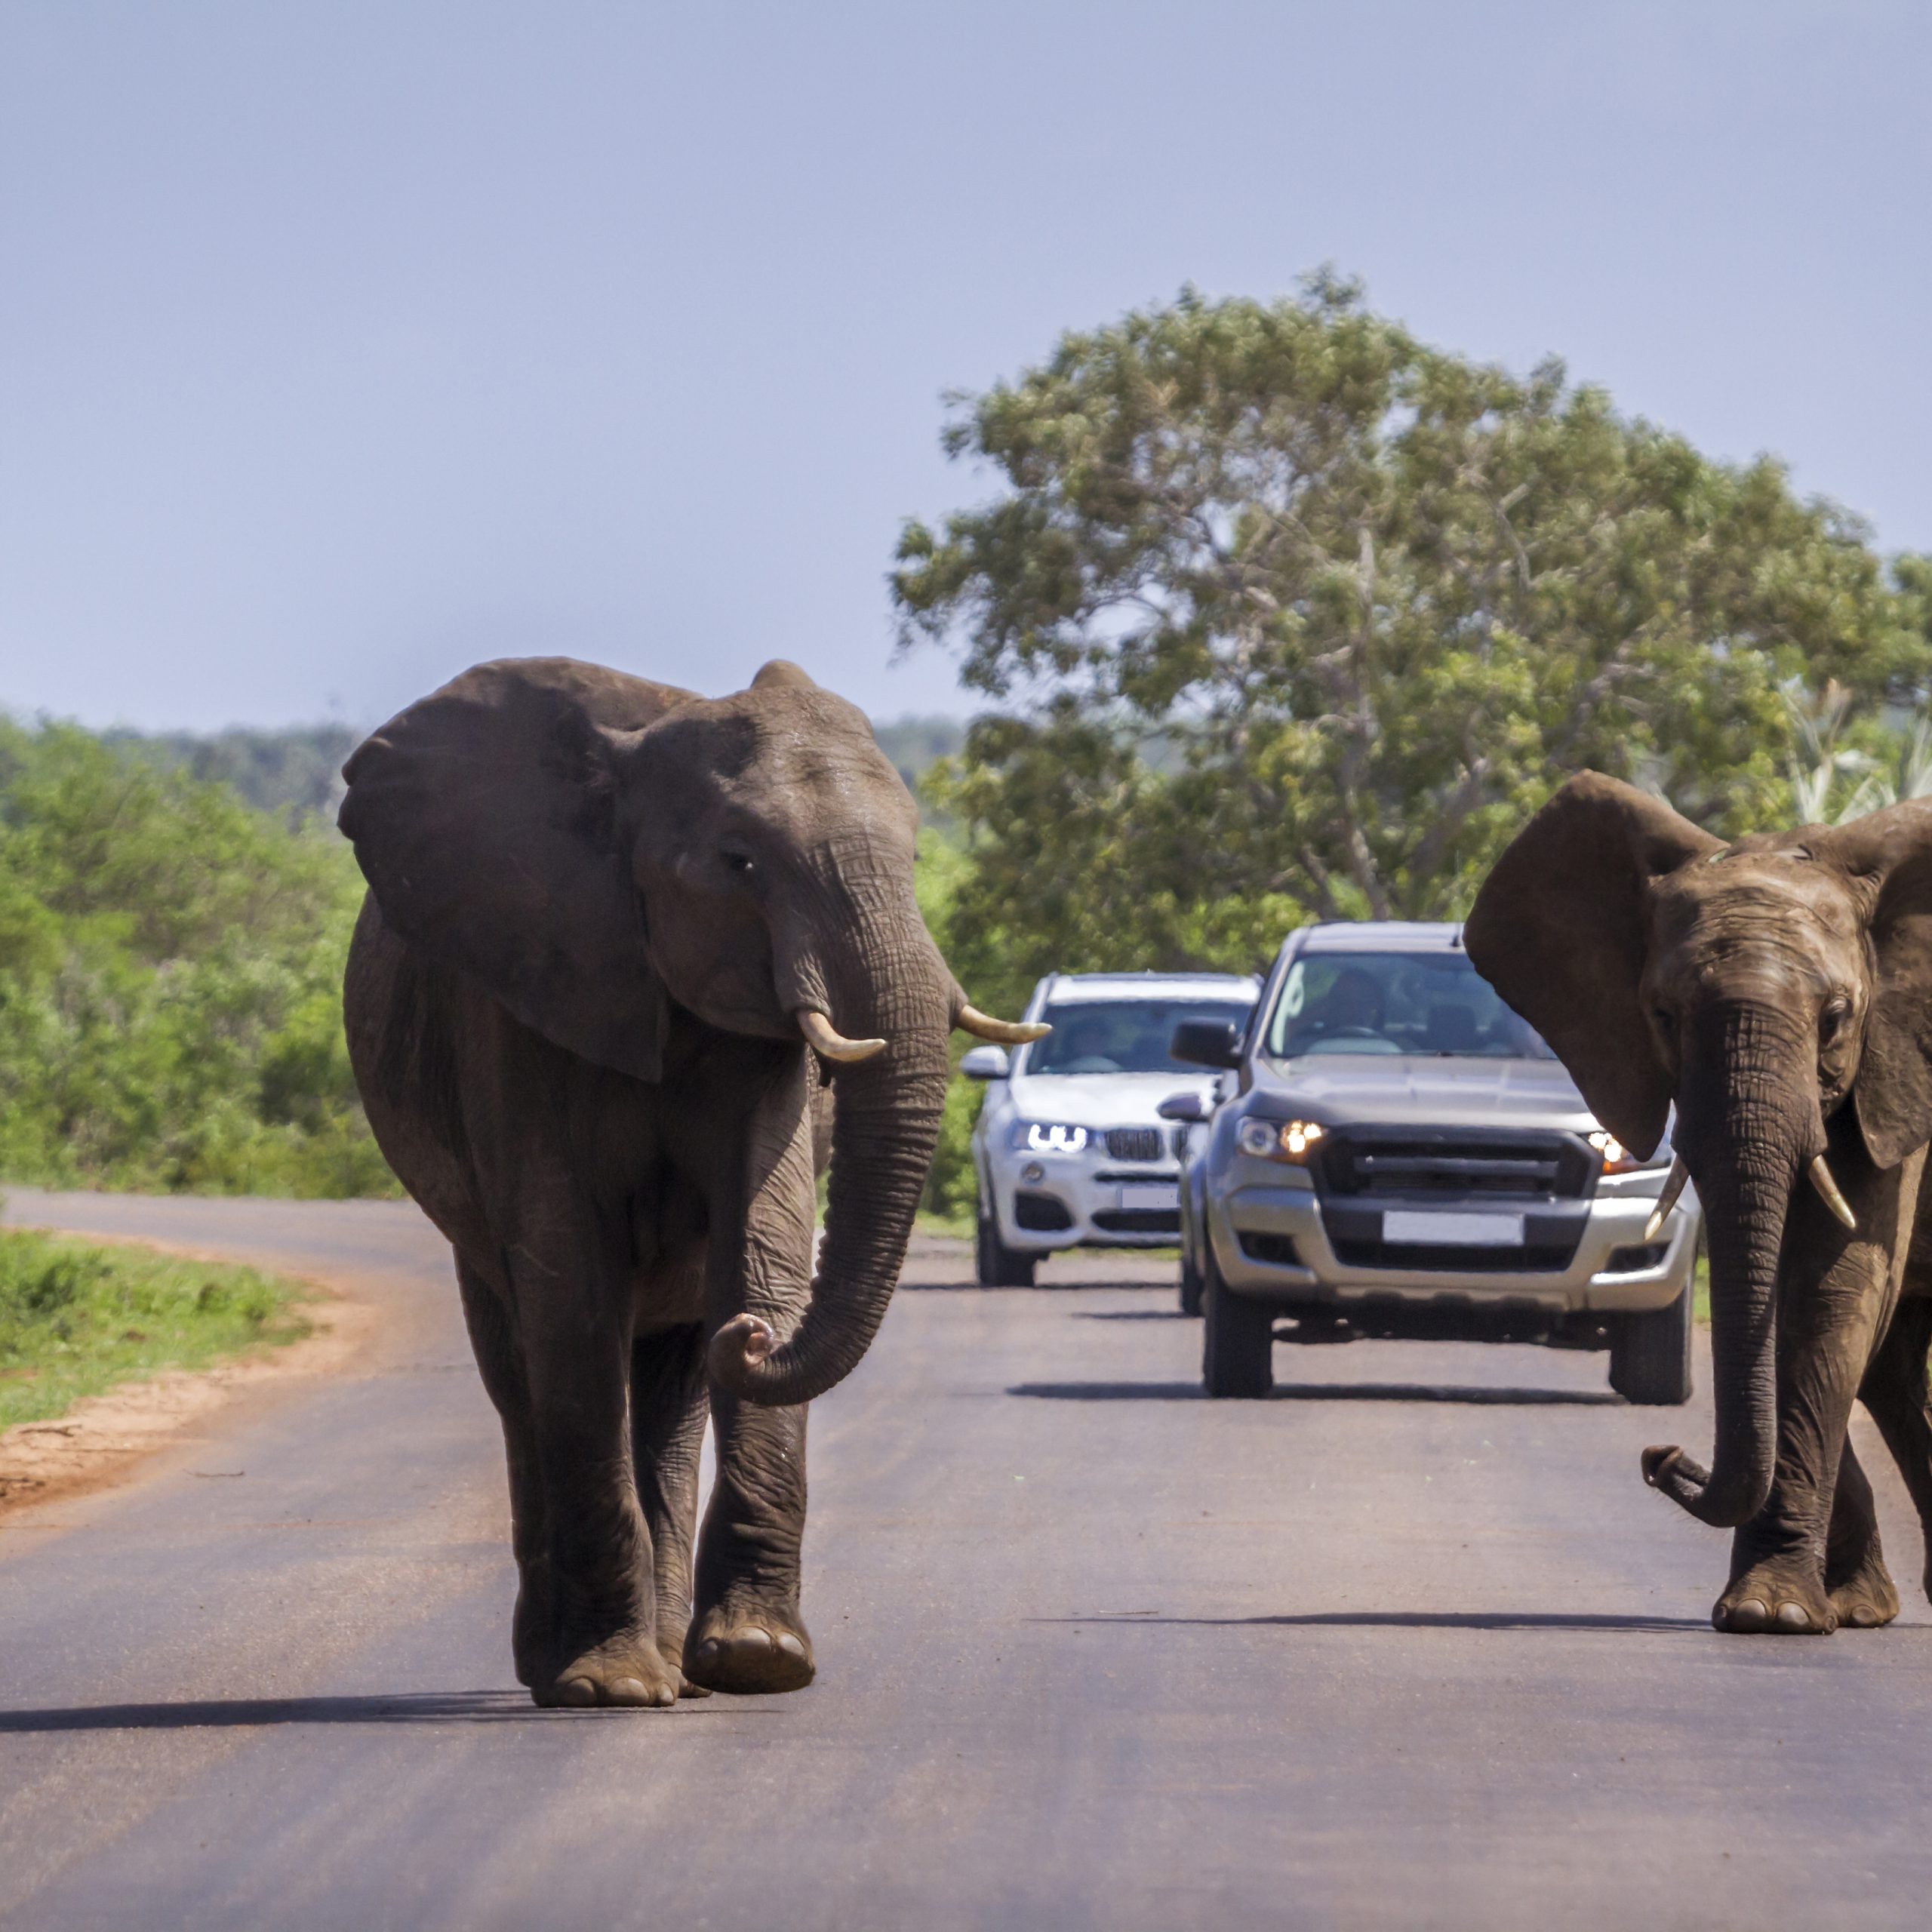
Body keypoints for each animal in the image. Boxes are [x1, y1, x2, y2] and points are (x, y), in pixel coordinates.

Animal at [337, 656, 1042, 1706]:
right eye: (739, 862)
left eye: (916, 857)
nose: (748, 1338)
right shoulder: (520, 992)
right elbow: (570, 1288)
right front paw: (606, 1687)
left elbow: (765, 1241)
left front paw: (758, 1658)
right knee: (518, 1376)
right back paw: (566, 1665)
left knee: (669, 1393)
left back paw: (681, 1661)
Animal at [1465, 772, 1932, 1635]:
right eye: (1662, 1015)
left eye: (1837, 1018)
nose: (1661, 1455)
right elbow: (1790, 1303)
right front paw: (1776, 1610)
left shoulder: (1896, 1061)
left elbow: (1832, 1287)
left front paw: (1773, 1614)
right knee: (1888, 1368)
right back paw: (1865, 1604)